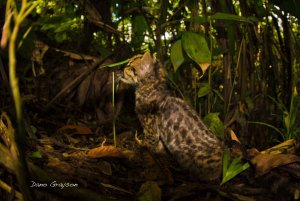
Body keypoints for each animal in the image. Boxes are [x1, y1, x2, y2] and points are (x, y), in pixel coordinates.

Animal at [122, 51, 225, 181]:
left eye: (130, 67)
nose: (122, 68)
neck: (151, 87)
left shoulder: (150, 127)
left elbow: (151, 144)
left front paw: (144, 147)